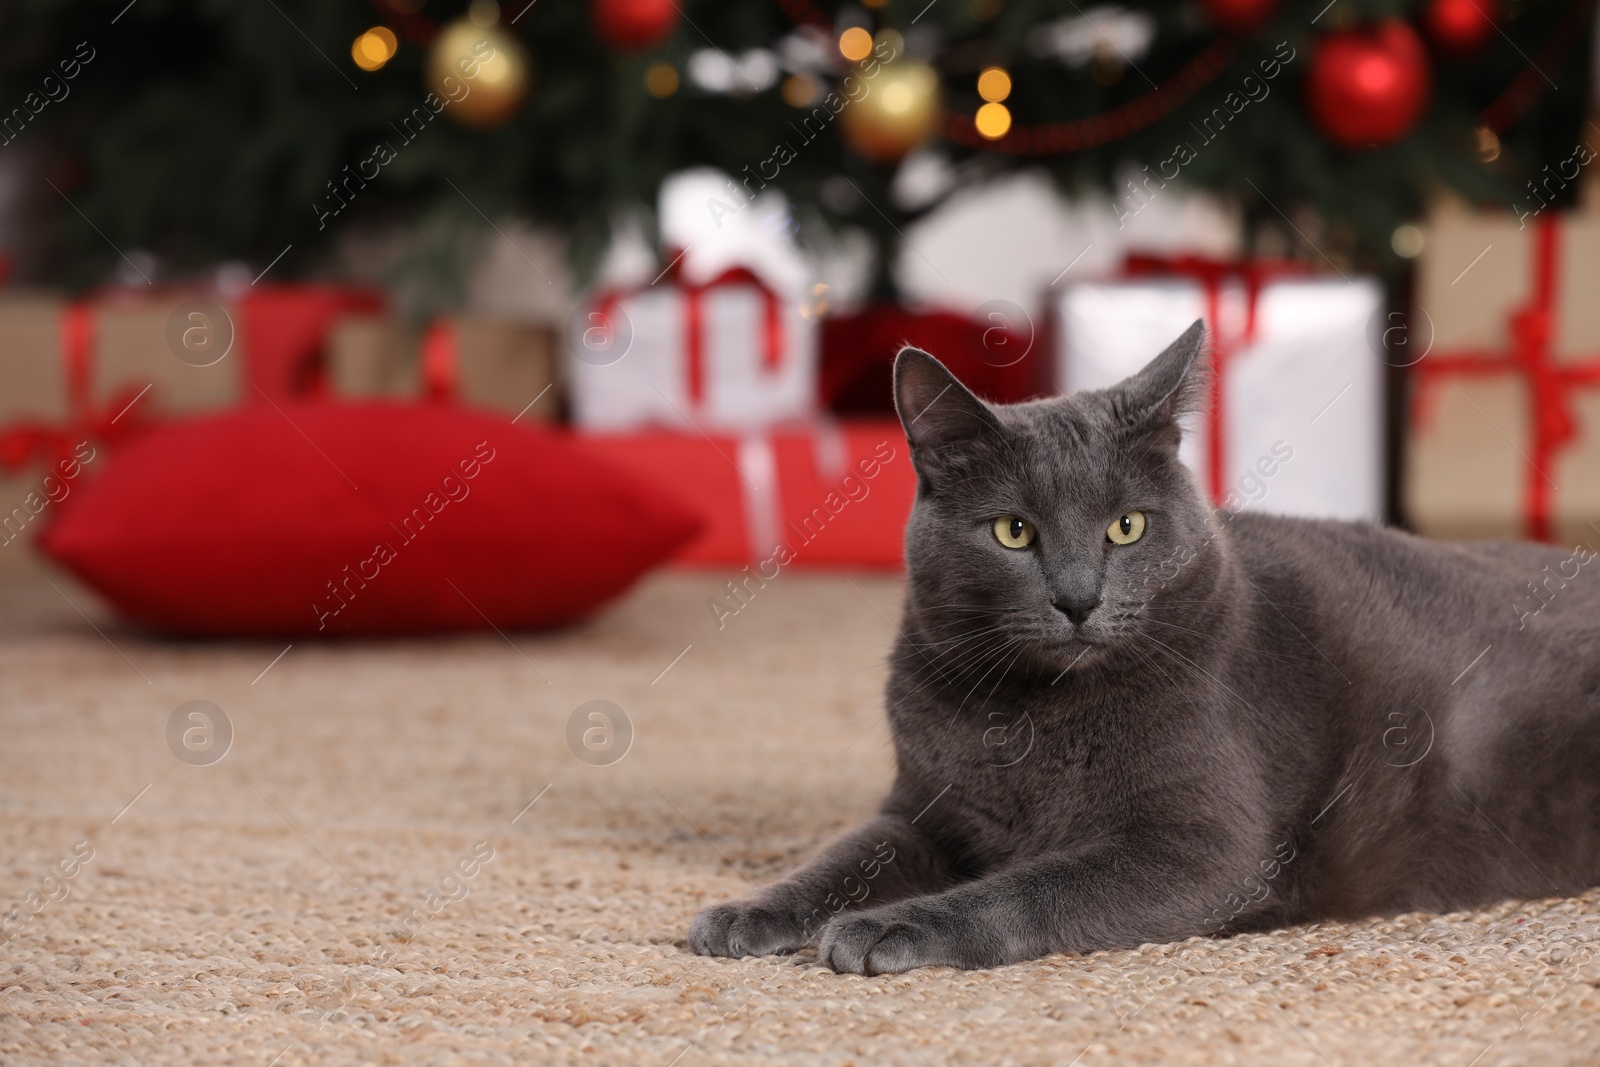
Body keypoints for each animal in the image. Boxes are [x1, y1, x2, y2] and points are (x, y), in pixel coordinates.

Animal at [684, 319, 1600, 979]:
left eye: (1127, 526)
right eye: (1013, 531)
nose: (1078, 597)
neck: (1031, 714)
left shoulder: (1204, 845)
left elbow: (1032, 887)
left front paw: (887, 924)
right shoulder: (923, 806)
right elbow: (846, 853)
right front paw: (744, 912)